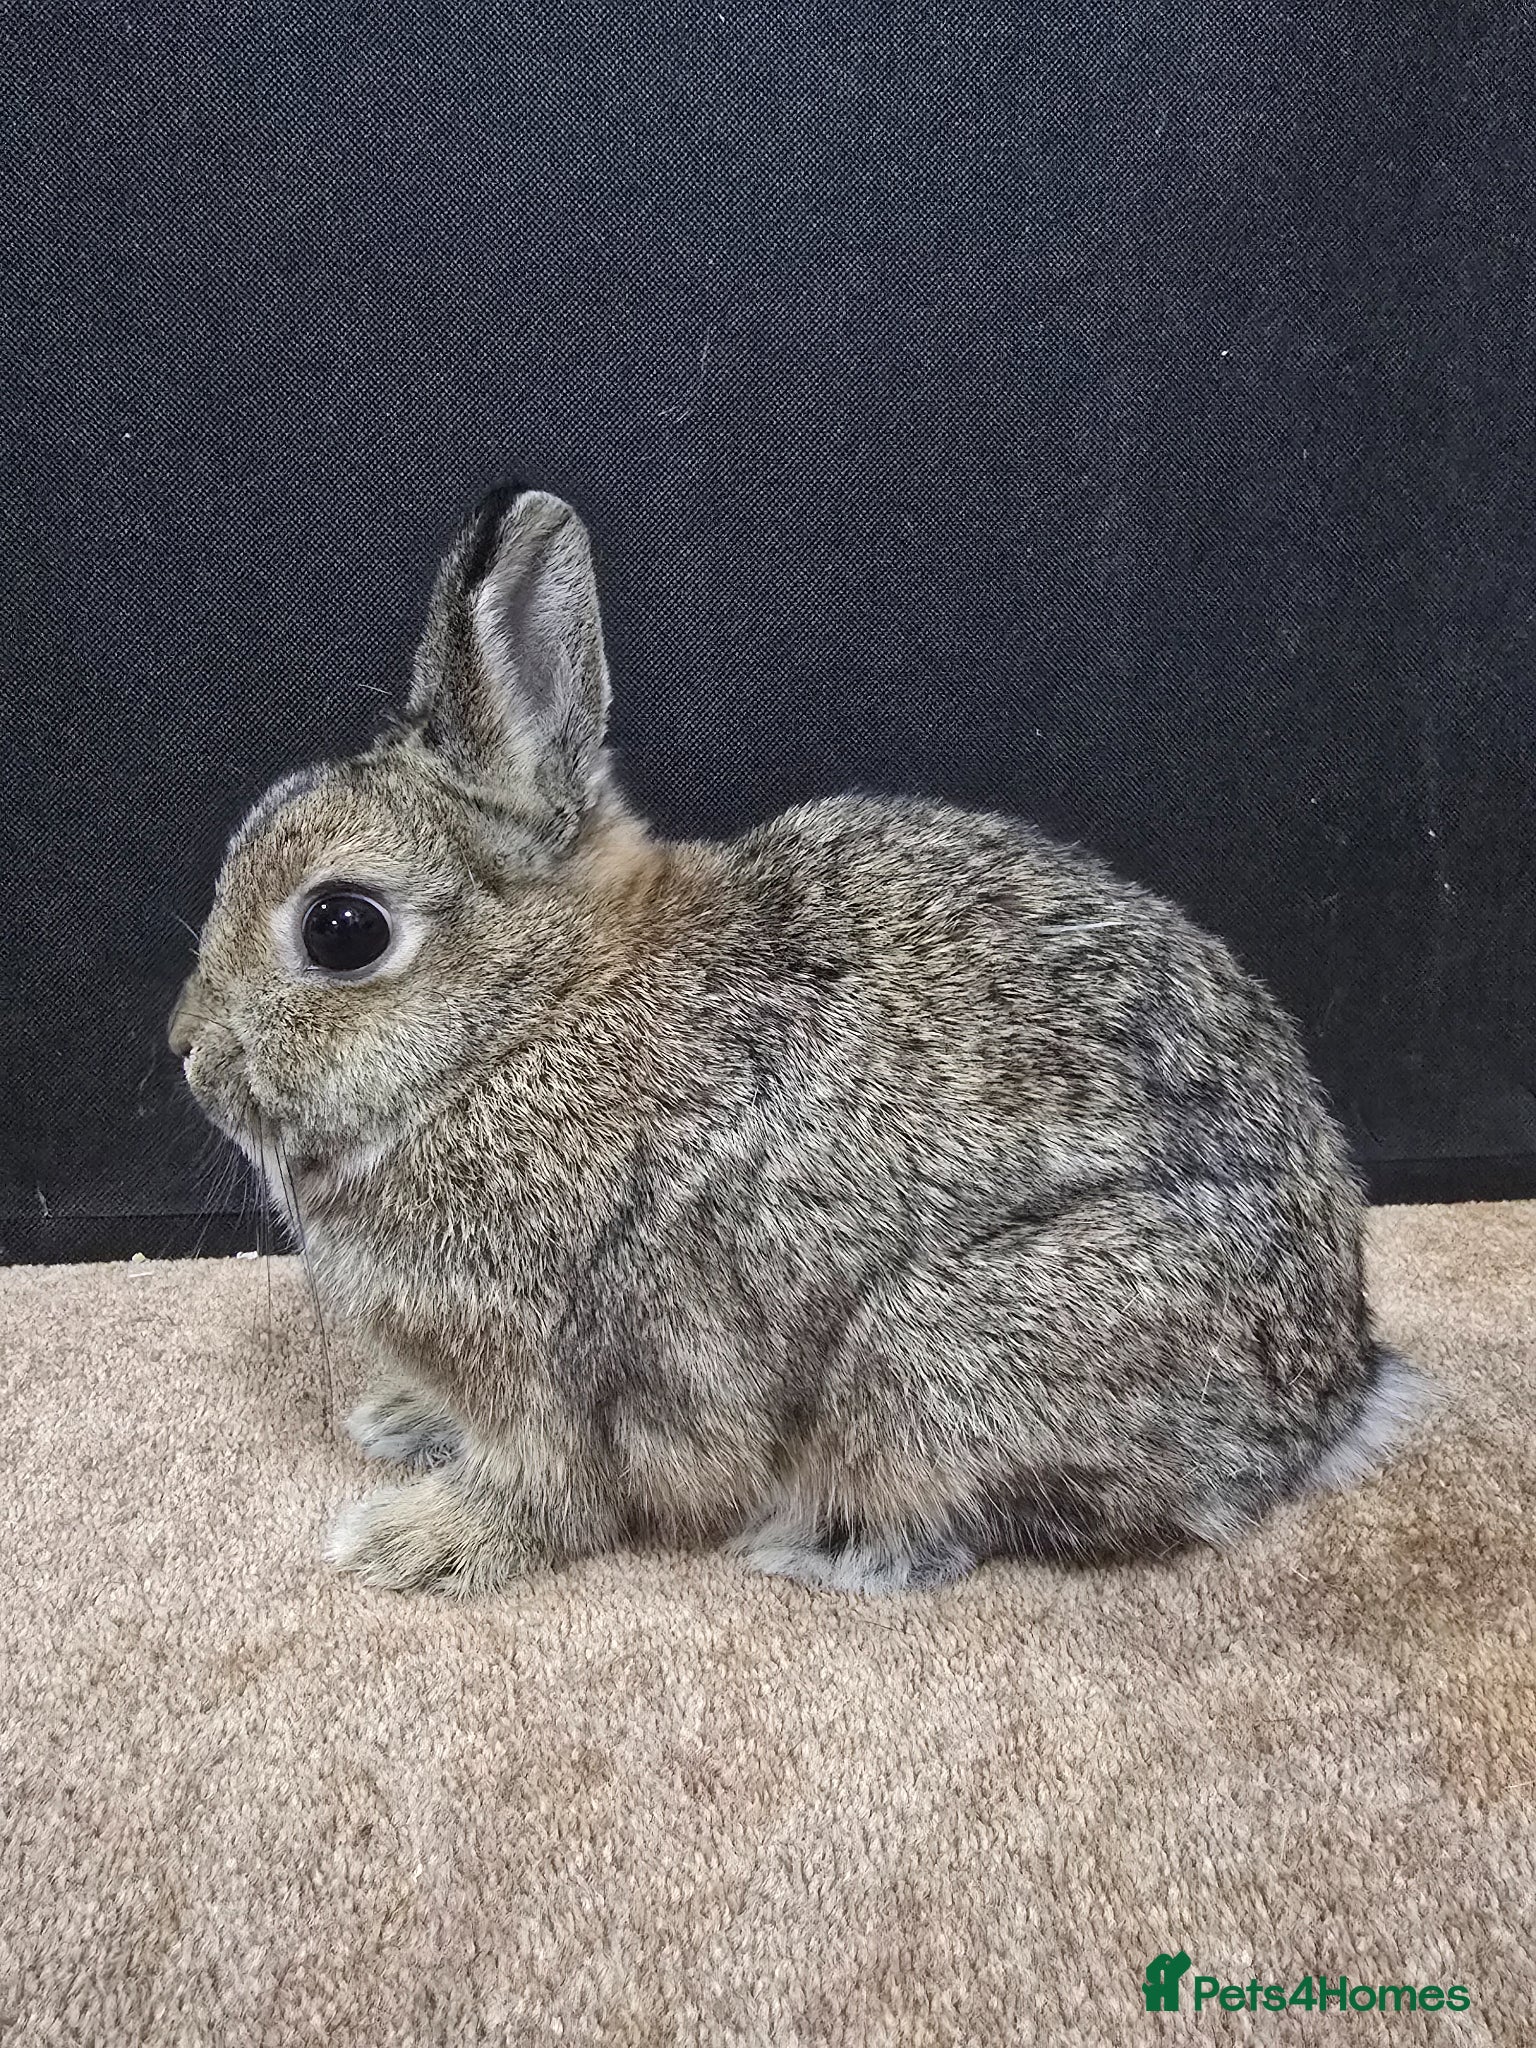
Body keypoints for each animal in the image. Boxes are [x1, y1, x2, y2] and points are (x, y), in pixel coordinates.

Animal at [169, 485, 1421, 1596]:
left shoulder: (551, 1376)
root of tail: (1330, 1398)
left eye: (342, 928)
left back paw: (814, 1548)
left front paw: (406, 1544)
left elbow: (546, 1496)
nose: (188, 1050)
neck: (522, 1023)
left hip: (928, 1361)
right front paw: (396, 1421)